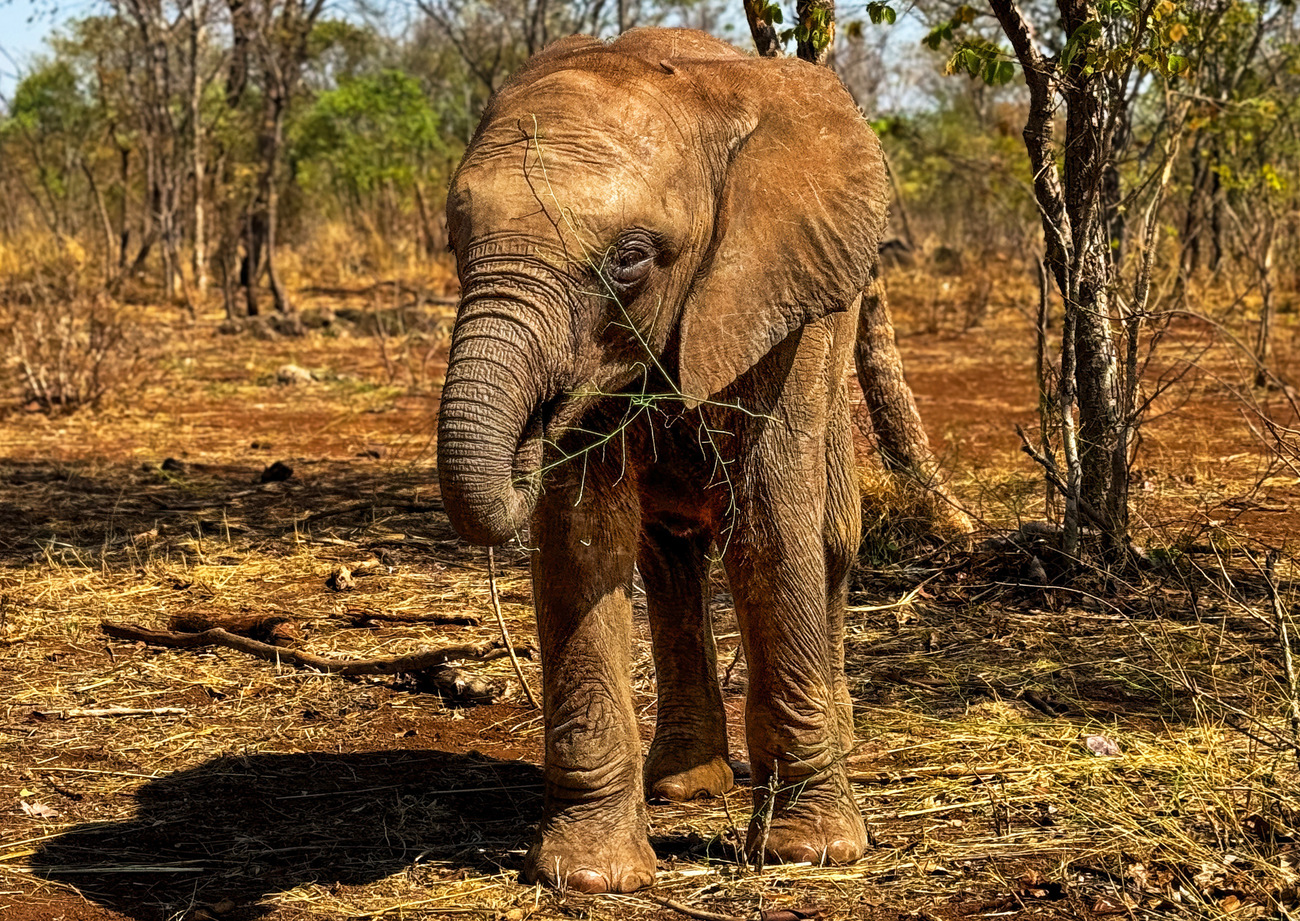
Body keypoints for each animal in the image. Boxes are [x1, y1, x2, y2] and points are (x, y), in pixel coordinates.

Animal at [434, 26, 883, 889]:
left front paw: (812, 851)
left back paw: (839, 740)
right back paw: (683, 784)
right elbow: (581, 533)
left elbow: (771, 517)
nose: (534, 423)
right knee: (669, 552)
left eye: (630, 259)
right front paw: (590, 875)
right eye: (456, 242)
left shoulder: (773, 289)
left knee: (831, 533)